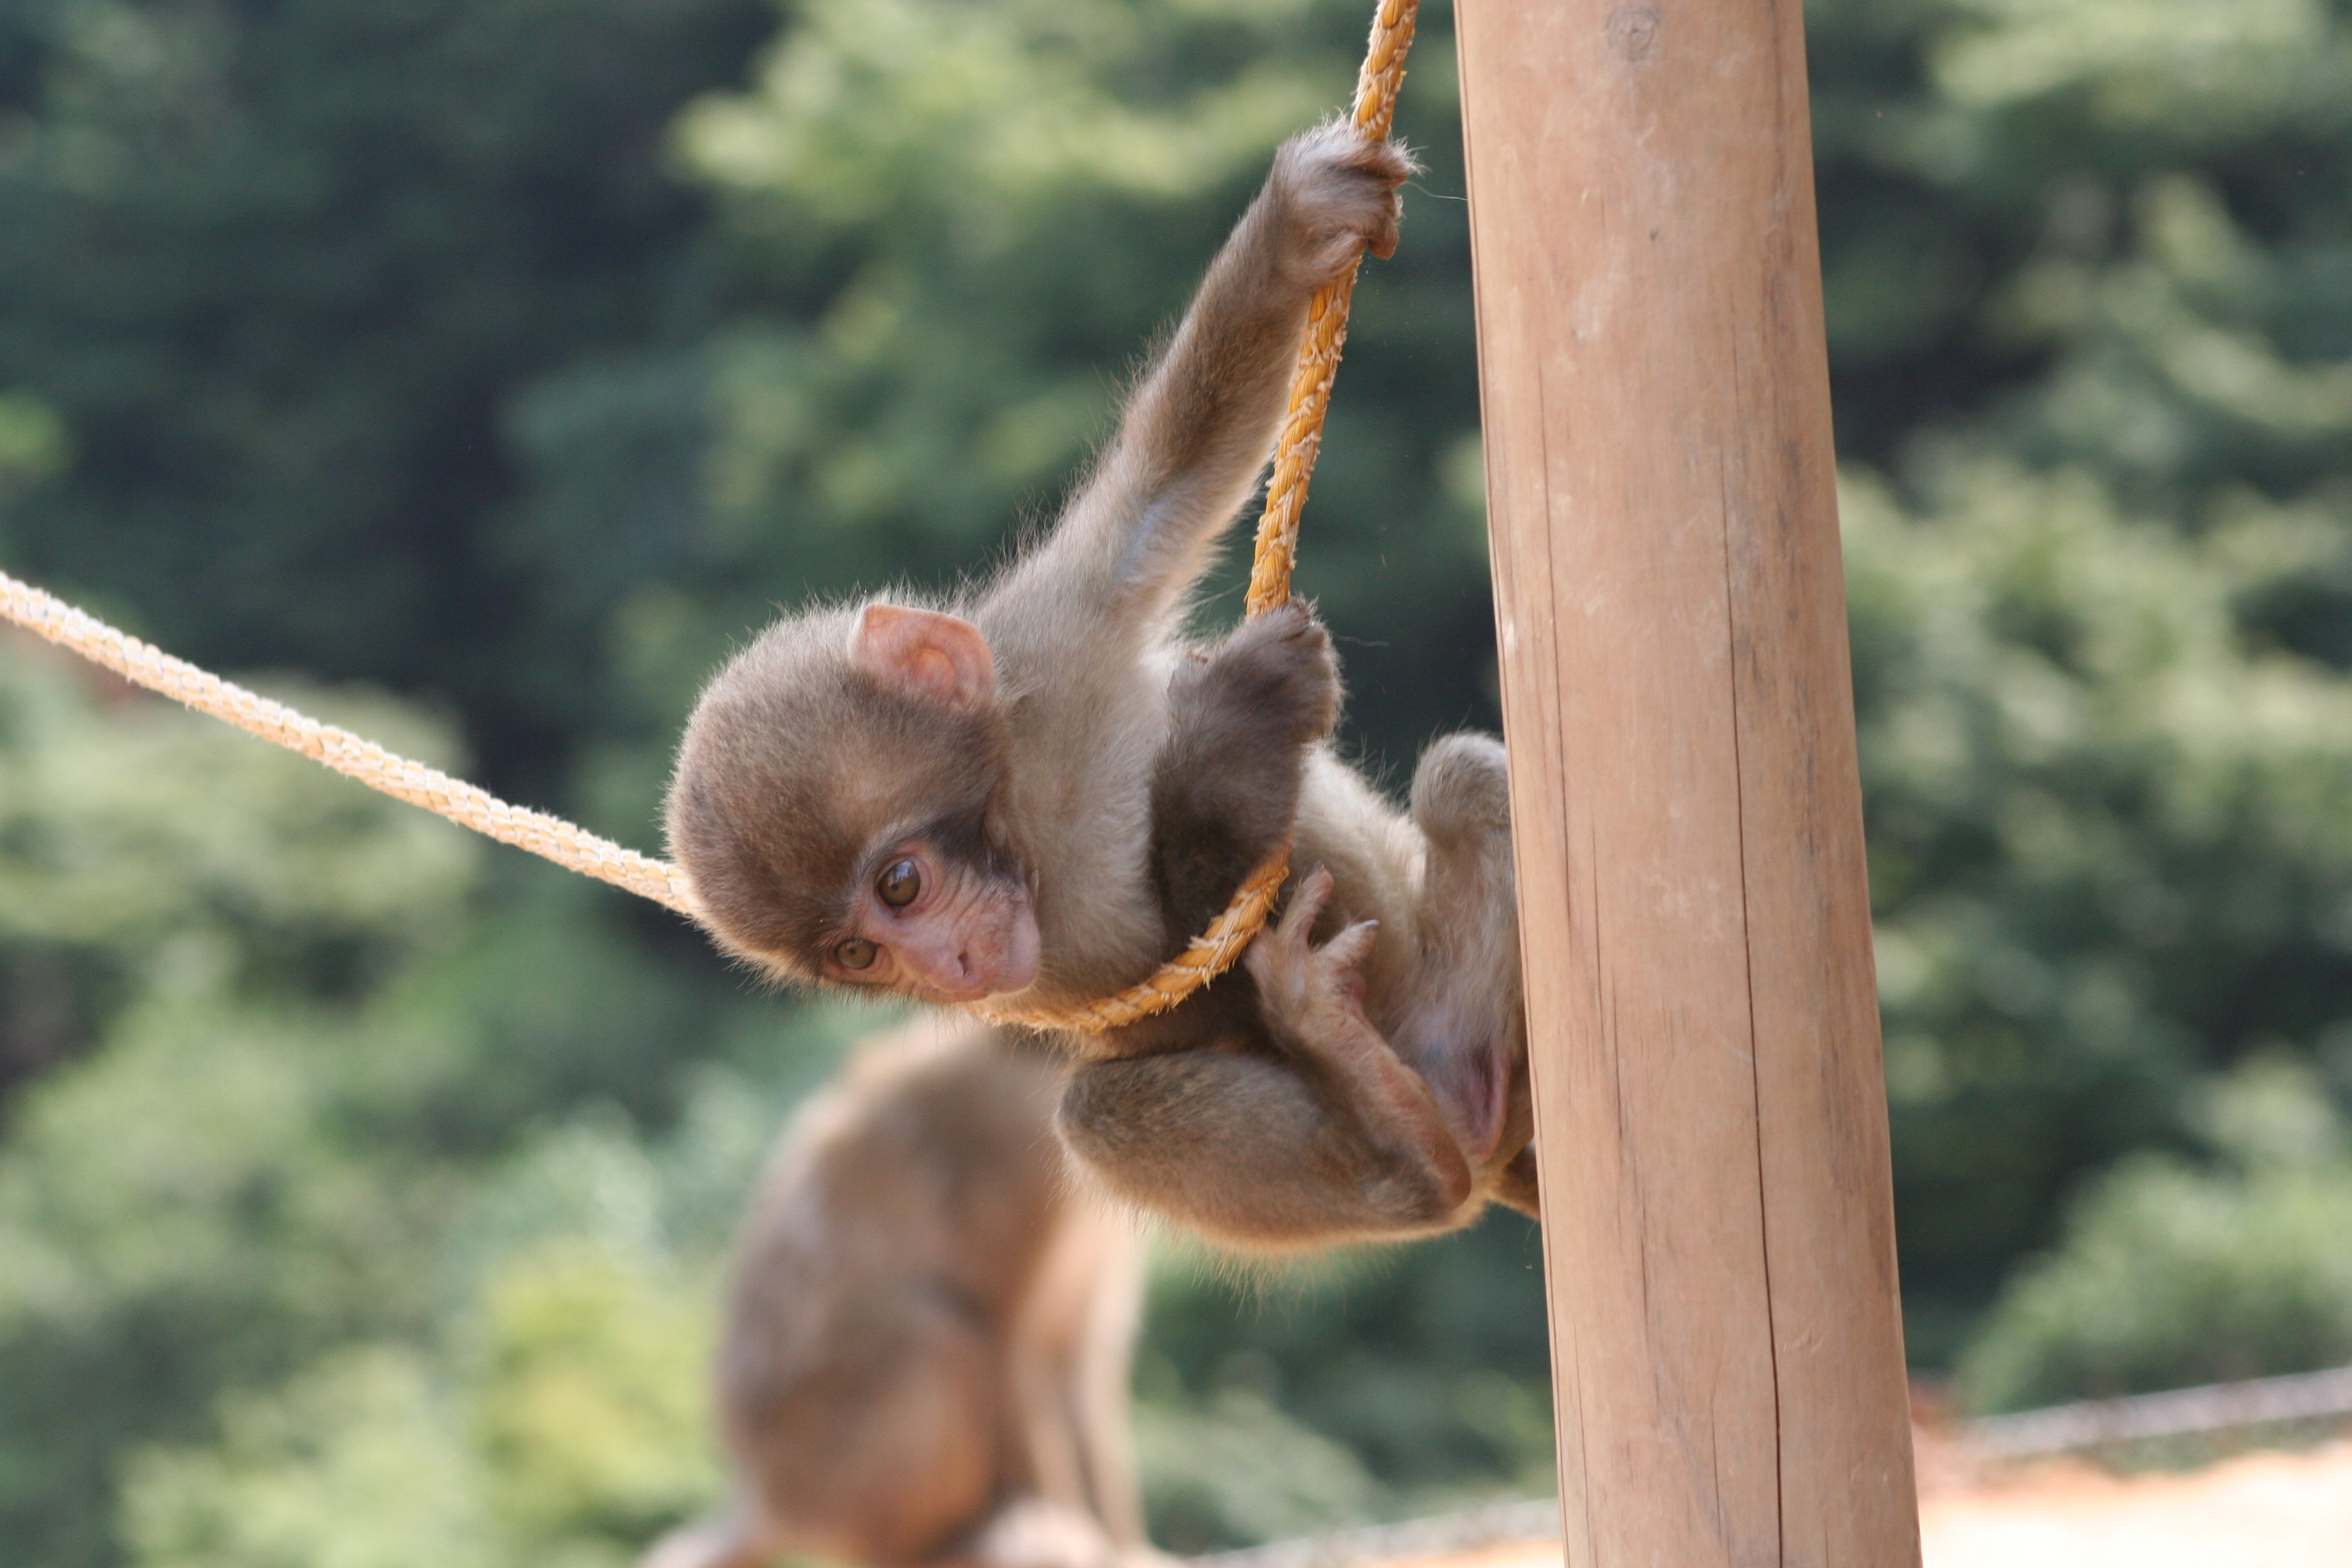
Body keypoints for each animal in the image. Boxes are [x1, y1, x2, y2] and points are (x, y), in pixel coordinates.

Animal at [672, 125, 1533, 1250]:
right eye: (860, 953)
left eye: (901, 885)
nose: (949, 970)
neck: (1030, 822)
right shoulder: (1041, 978)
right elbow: (1193, 982)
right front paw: (1227, 751)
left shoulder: (1057, 639)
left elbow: (1170, 481)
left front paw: (1296, 231)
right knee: (1103, 1112)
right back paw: (1407, 1146)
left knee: (1461, 782)